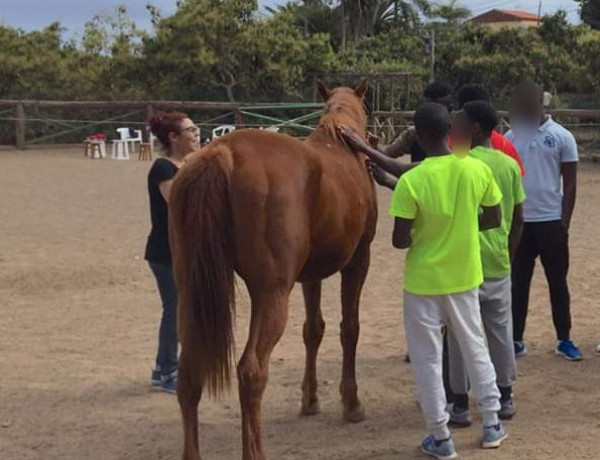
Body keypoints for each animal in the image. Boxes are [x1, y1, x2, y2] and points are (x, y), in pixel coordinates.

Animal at [166, 81, 378, 458]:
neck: (342, 144)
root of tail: (224, 152)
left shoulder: (312, 275)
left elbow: (313, 329)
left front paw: (310, 399)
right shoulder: (358, 262)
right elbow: (349, 328)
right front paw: (351, 403)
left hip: (190, 294)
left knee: (190, 372)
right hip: (271, 294)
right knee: (251, 371)